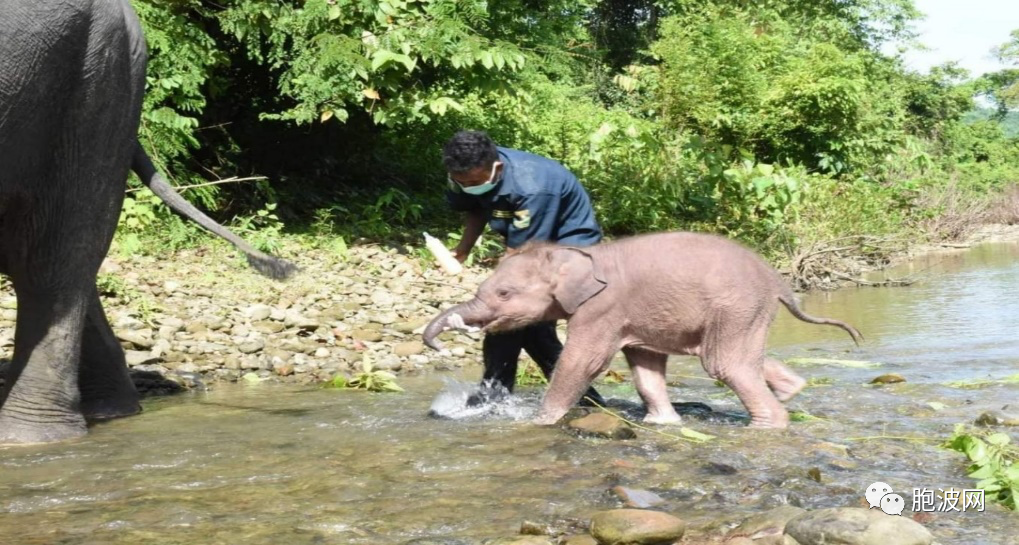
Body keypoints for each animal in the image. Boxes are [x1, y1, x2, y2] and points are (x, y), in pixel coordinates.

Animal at [421, 232, 860, 427]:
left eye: (504, 293)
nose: (439, 347)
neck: (577, 254)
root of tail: (778, 280)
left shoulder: (603, 309)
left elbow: (582, 361)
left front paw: (538, 422)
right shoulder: (631, 316)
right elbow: (645, 366)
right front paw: (662, 424)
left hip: (736, 307)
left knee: (723, 364)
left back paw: (769, 424)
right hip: (746, 313)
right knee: (740, 359)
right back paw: (792, 392)